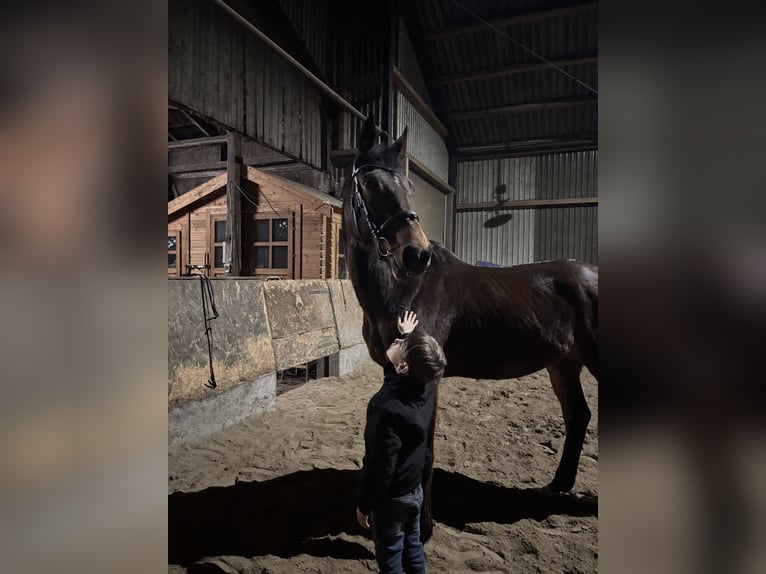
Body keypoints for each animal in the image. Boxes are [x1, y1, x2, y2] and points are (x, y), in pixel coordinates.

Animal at [343, 115, 598, 540]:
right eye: (369, 184)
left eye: (409, 187)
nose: (417, 255)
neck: (402, 288)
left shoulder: (427, 376)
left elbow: (426, 449)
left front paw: (425, 525)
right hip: (563, 364)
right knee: (577, 416)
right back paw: (557, 486)